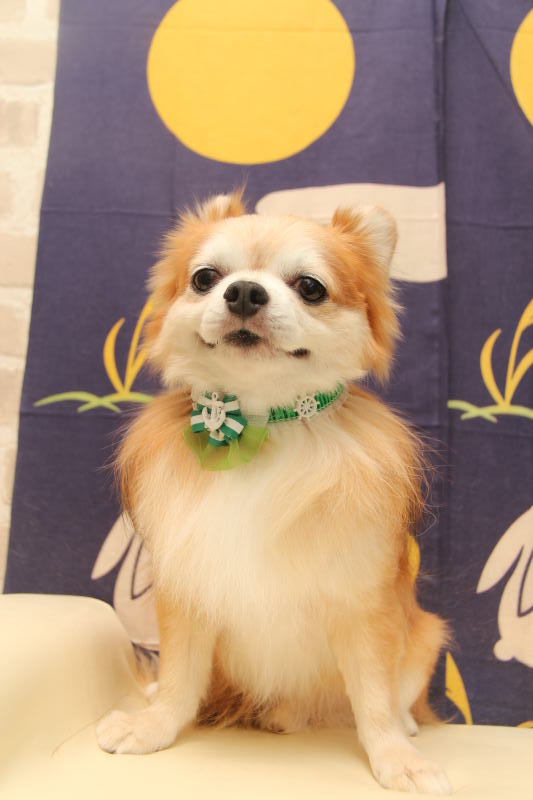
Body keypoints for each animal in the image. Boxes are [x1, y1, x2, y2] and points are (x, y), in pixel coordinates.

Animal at [96, 191, 451, 794]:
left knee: (399, 695)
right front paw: (154, 727)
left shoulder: (365, 605)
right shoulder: (188, 591)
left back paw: (407, 725)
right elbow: (181, 676)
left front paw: (395, 758)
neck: (260, 426)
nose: (243, 291)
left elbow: (374, 697)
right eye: (205, 278)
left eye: (310, 287)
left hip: (426, 634)